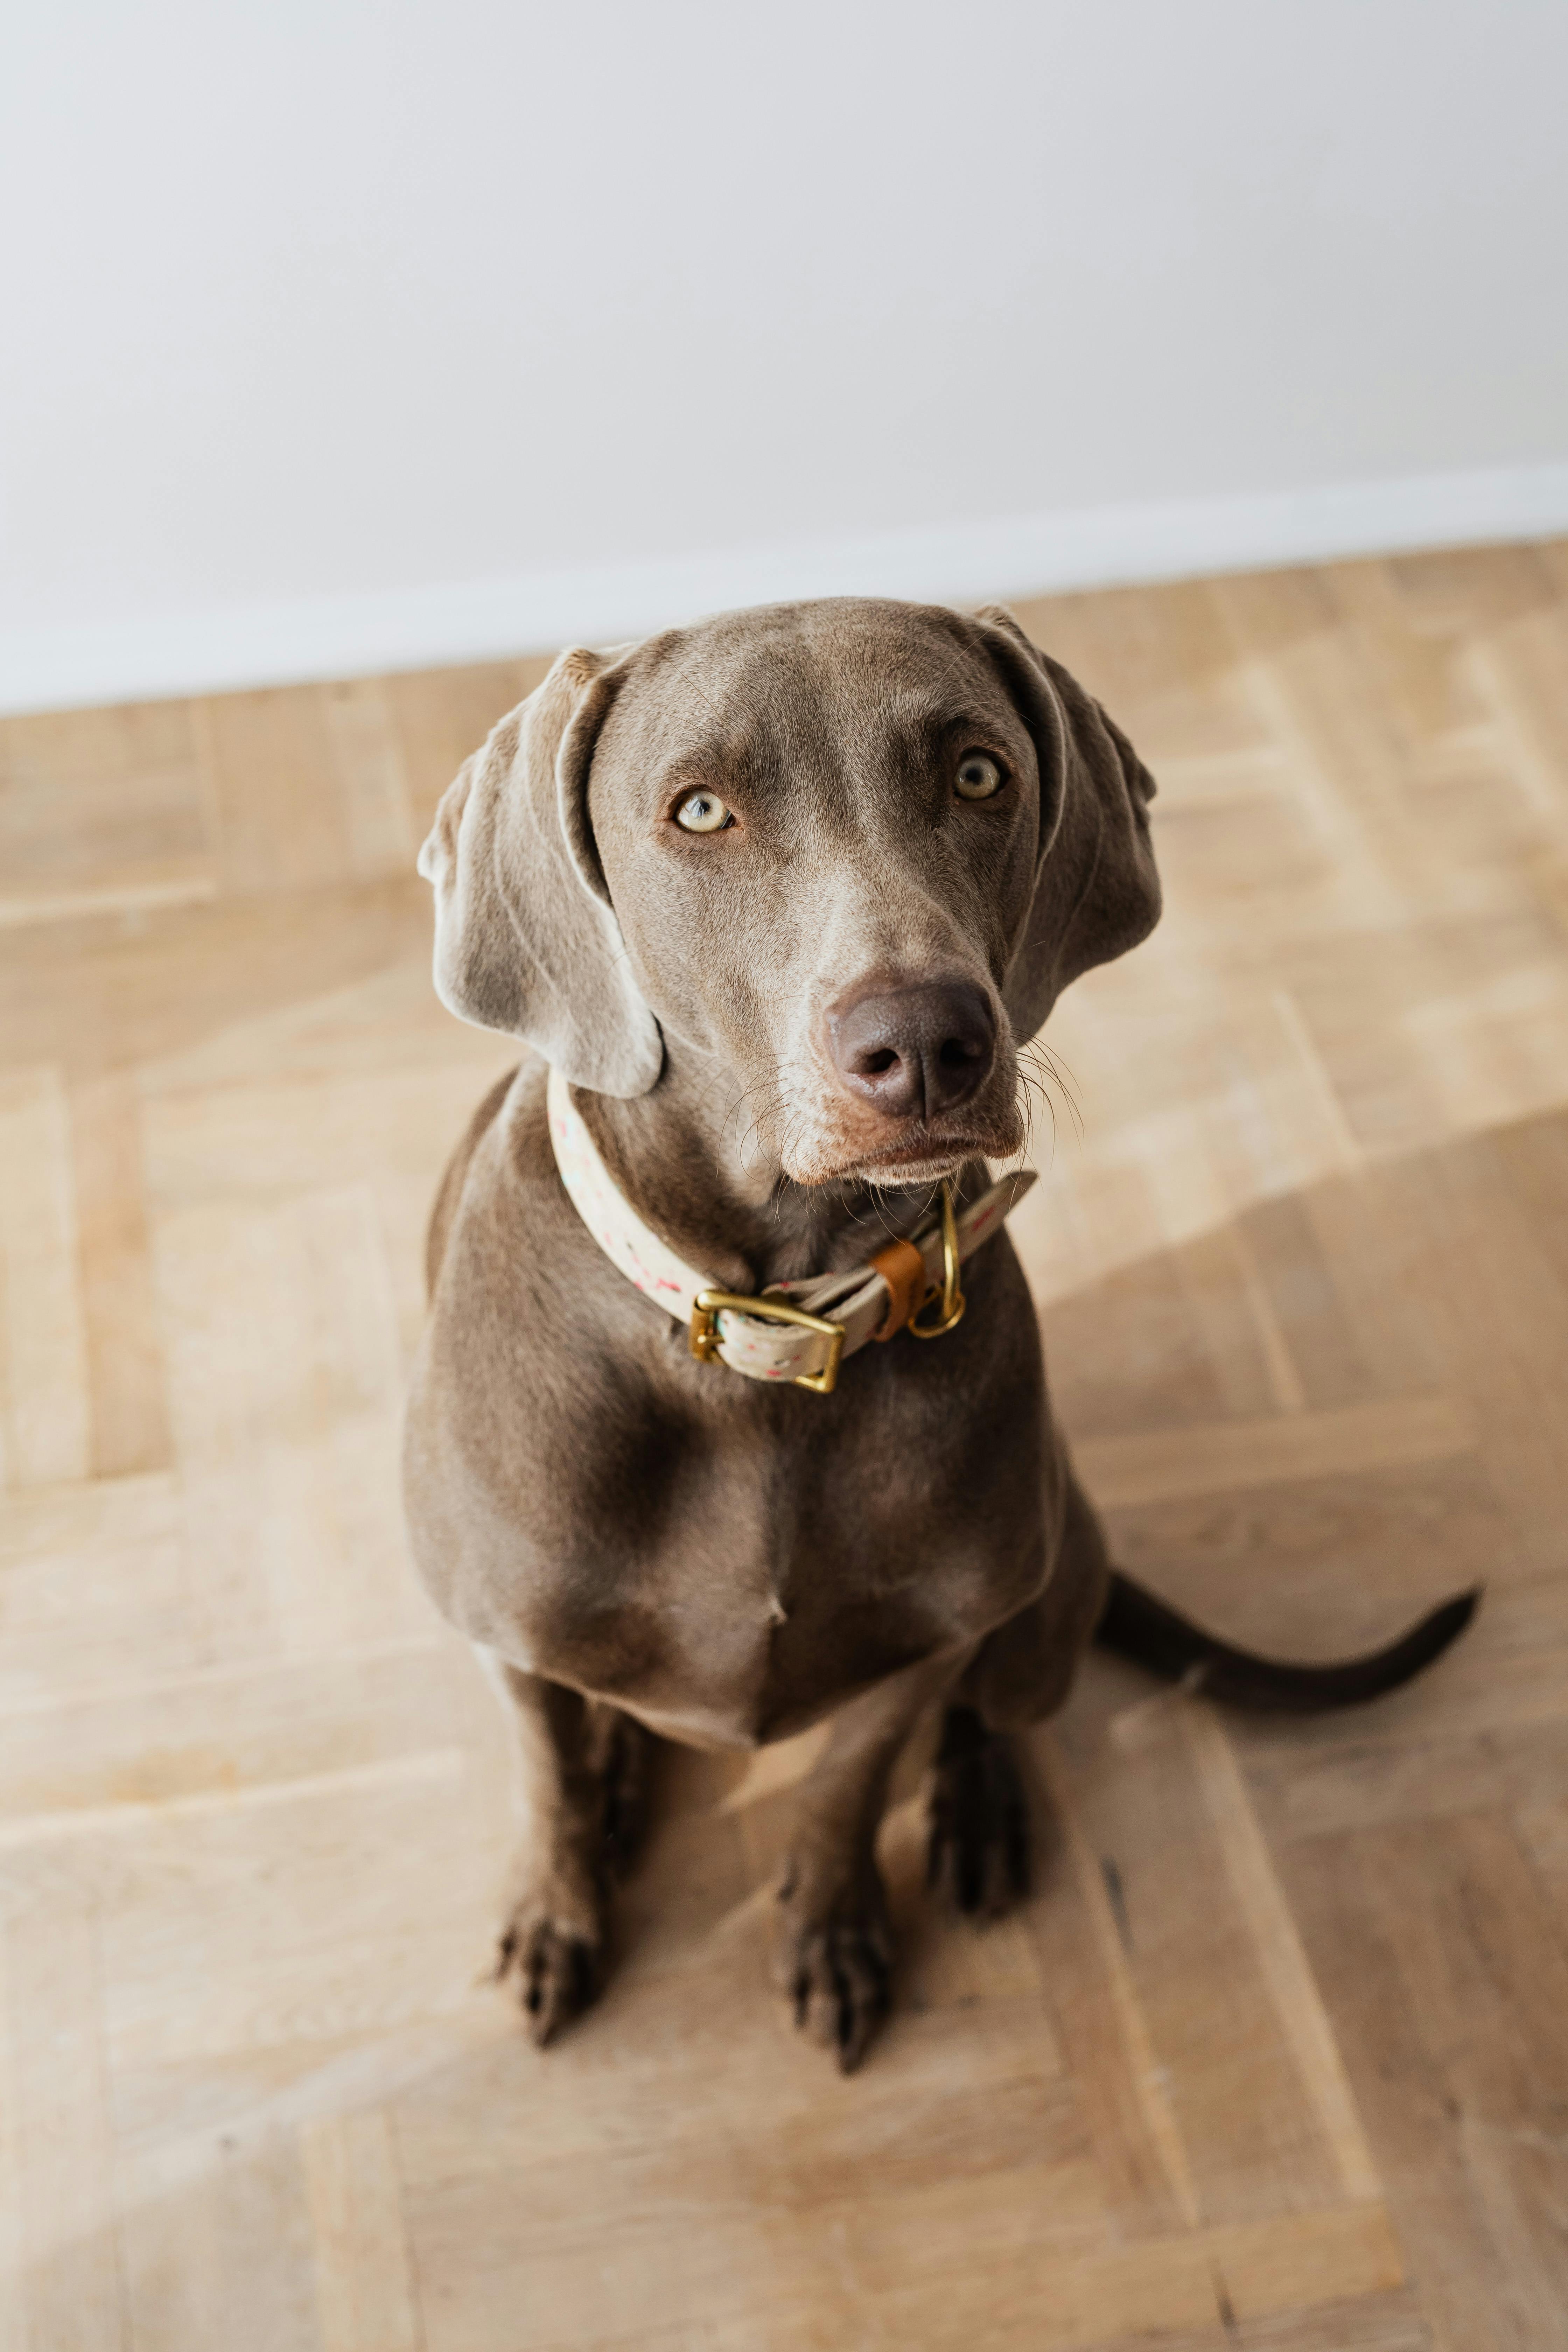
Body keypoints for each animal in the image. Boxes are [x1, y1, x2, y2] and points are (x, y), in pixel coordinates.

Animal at [402, 597, 1476, 2070]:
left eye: (977, 774)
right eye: (699, 810)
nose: (924, 1041)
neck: (771, 1332)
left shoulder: (927, 1636)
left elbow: (849, 1786)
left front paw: (835, 1923)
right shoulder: (502, 1632)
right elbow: (545, 1780)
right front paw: (557, 1912)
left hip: (1049, 1573)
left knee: (999, 1704)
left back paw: (976, 1811)